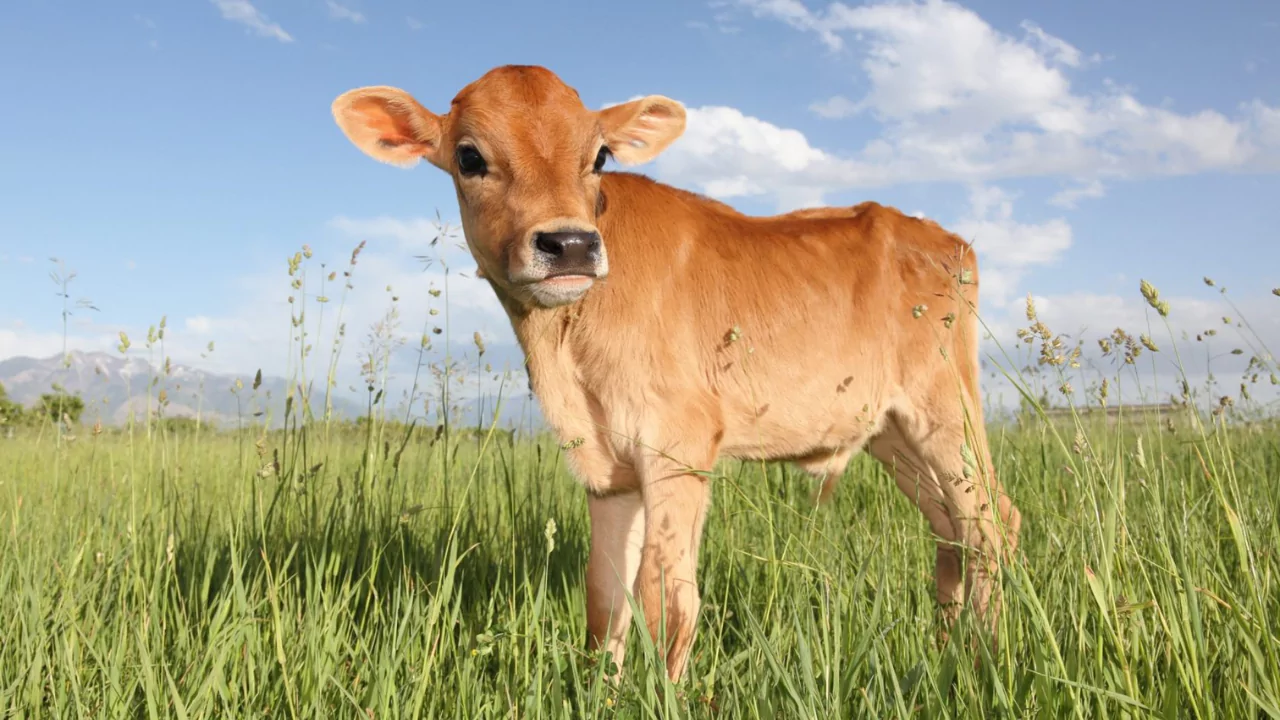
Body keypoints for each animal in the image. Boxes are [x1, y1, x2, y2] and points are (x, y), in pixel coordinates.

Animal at [330, 64, 1022, 683]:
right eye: (470, 157)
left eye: (599, 155)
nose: (570, 245)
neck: (564, 352)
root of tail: (939, 237)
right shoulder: (607, 469)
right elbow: (605, 599)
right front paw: (603, 693)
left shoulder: (680, 445)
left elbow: (666, 600)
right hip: (891, 432)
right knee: (951, 532)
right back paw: (947, 652)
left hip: (945, 409)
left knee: (992, 524)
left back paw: (987, 657)